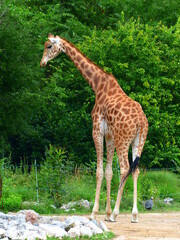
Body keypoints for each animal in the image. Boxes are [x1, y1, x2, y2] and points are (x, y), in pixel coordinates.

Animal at [40, 34, 148, 223]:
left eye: (49, 46)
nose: (42, 63)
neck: (96, 85)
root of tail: (141, 122)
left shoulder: (97, 130)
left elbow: (98, 171)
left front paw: (95, 213)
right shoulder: (109, 136)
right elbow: (109, 171)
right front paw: (106, 212)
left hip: (123, 140)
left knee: (125, 168)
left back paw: (116, 213)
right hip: (138, 141)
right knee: (135, 170)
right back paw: (134, 215)